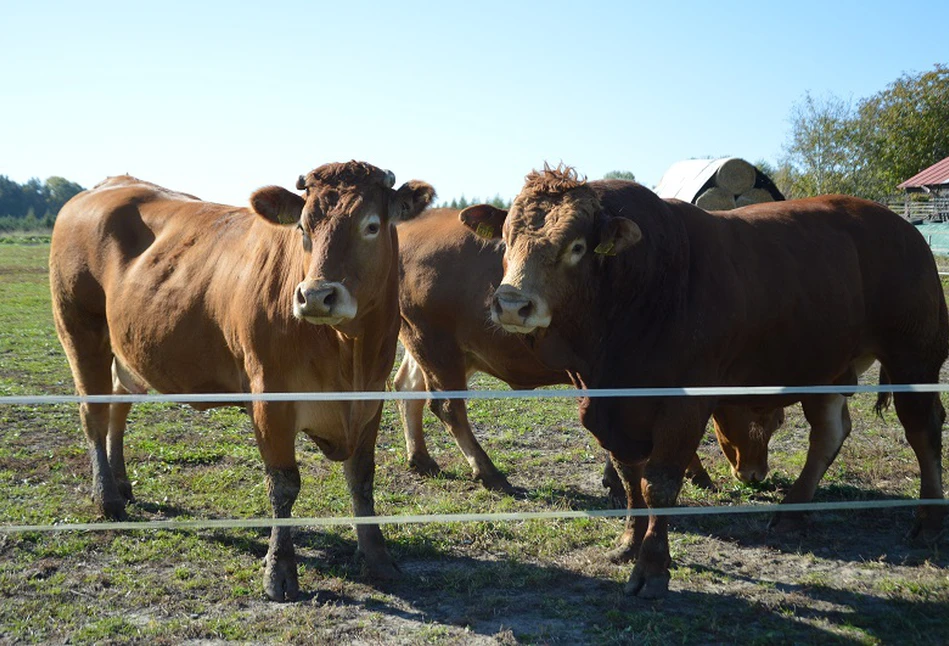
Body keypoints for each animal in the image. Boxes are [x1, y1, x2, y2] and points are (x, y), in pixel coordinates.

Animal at [50, 162, 436, 604]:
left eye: (371, 226)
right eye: (303, 227)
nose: (316, 296)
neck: (347, 353)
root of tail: (106, 186)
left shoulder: (371, 400)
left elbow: (362, 478)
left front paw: (377, 556)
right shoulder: (270, 400)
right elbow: (283, 485)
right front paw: (279, 571)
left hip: (125, 348)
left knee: (118, 404)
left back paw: (121, 481)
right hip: (80, 330)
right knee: (93, 413)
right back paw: (108, 498)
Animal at [468, 167, 948, 604]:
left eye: (577, 246)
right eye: (507, 239)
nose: (511, 304)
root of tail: (902, 226)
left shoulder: (685, 403)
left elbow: (660, 482)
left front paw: (652, 567)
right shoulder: (606, 406)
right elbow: (628, 476)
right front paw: (628, 543)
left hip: (915, 357)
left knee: (922, 430)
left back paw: (928, 520)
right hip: (825, 369)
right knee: (829, 433)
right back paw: (793, 511)